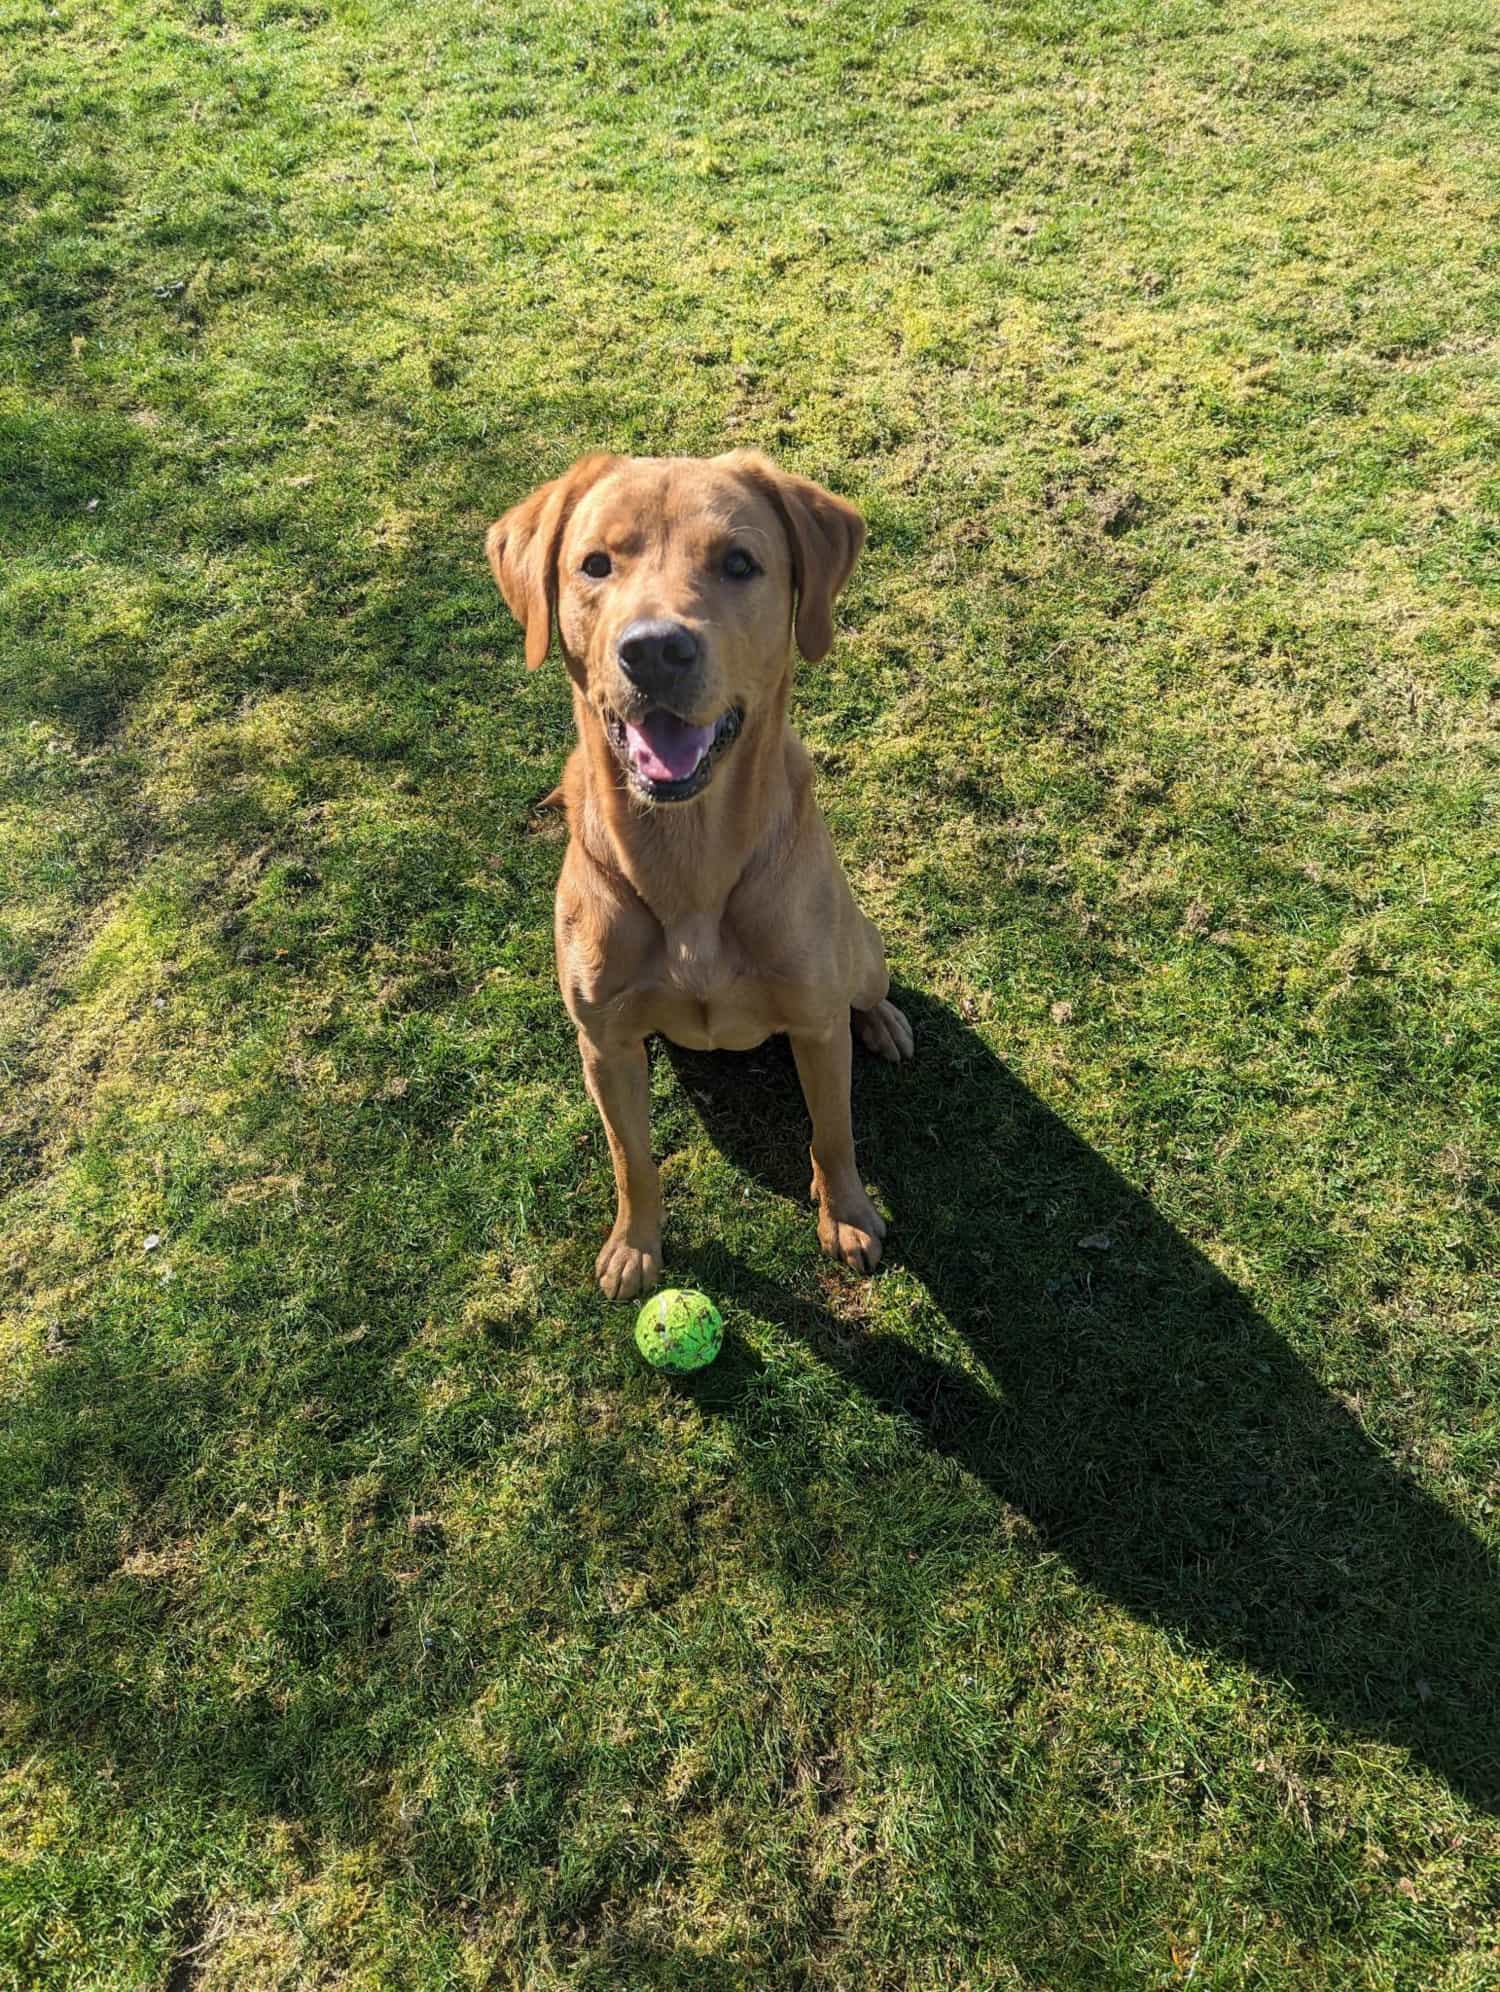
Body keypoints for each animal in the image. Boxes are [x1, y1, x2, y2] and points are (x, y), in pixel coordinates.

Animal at [492, 454, 912, 1298]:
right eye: (595, 564)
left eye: (739, 563)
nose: (655, 650)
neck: (690, 859)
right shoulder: (605, 1046)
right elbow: (632, 1159)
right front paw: (635, 1245)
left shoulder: (816, 1025)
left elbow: (834, 1133)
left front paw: (847, 1214)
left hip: (861, 951)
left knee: (867, 993)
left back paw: (884, 1021)